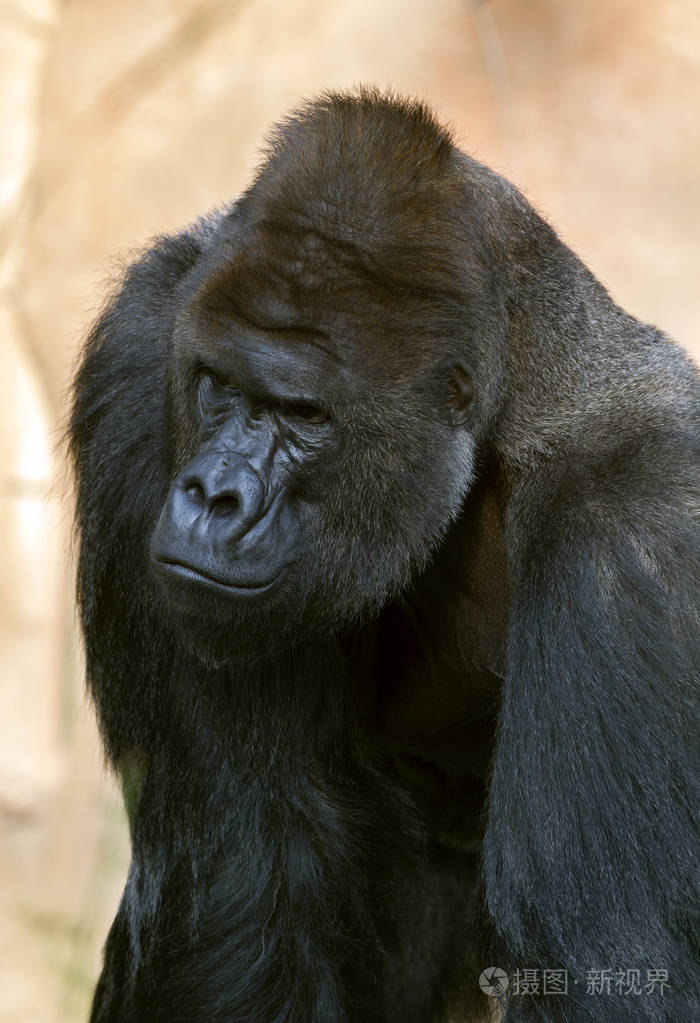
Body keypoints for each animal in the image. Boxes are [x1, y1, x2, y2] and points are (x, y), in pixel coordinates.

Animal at [68, 90, 695, 1023]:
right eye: (217, 383)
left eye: (305, 415)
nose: (213, 495)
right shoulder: (141, 351)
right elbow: (241, 880)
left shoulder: (639, 529)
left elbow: (608, 962)